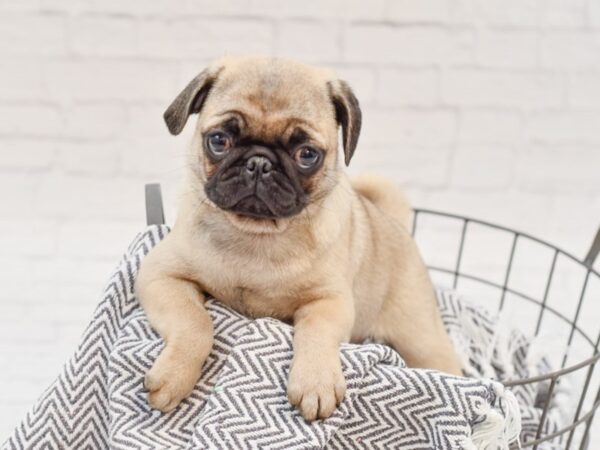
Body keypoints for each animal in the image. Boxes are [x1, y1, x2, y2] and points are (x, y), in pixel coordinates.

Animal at [137, 55, 464, 418]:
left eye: (307, 155)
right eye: (219, 141)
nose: (259, 163)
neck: (256, 234)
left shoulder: (330, 301)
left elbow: (316, 330)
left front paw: (315, 383)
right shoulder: (161, 275)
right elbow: (195, 322)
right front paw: (174, 375)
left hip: (423, 340)